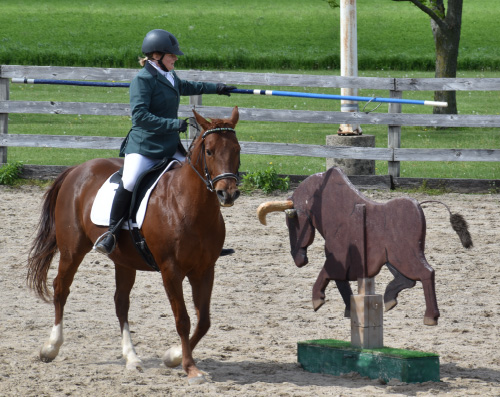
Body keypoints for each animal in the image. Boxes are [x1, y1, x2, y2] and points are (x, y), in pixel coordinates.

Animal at [27, 106, 242, 384]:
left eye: (237, 149)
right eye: (209, 151)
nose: (228, 193)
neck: (188, 204)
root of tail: (77, 169)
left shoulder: (204, 270)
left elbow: (203, 321)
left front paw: (172, 356)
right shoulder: (171, 271)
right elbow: (182, 319)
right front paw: (190, 368)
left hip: (124, 260)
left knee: (121, 303)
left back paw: (131, 358)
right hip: (72, 250)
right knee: (61, 289)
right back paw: (51, 347)